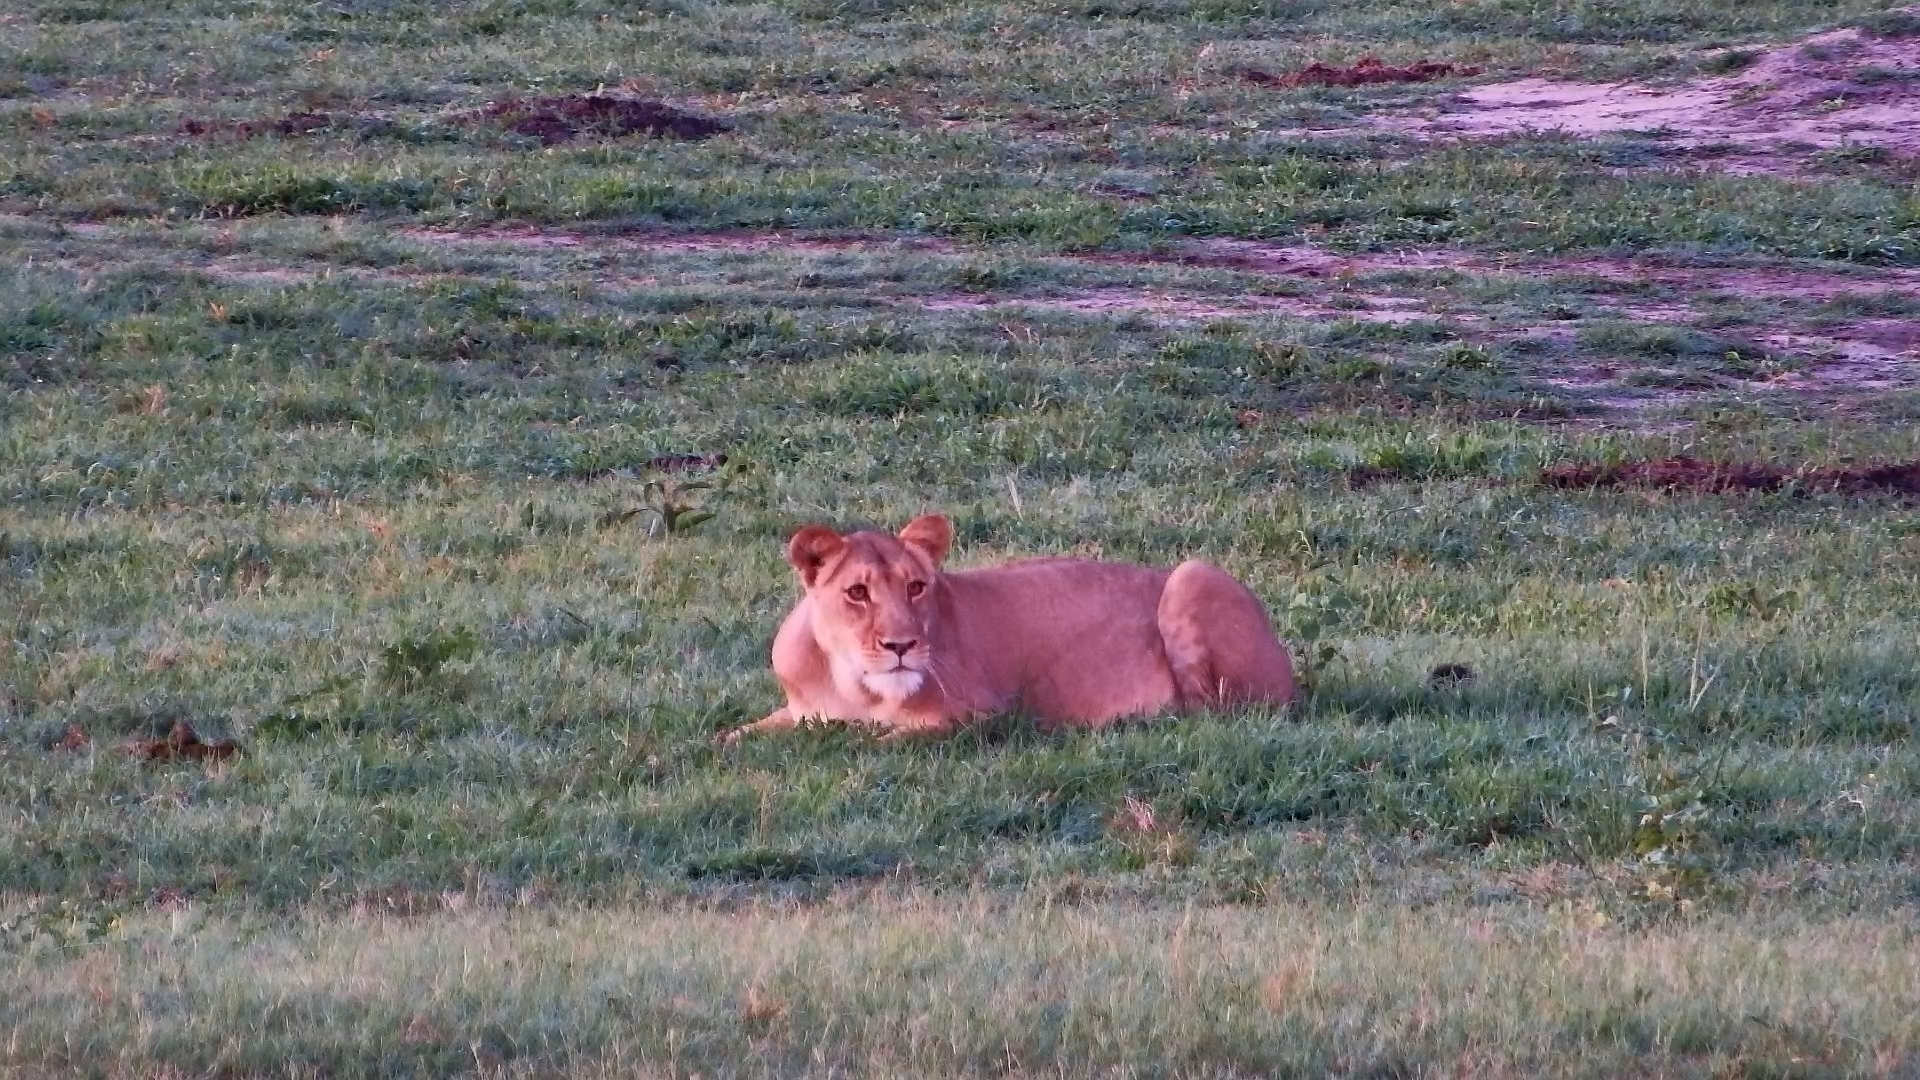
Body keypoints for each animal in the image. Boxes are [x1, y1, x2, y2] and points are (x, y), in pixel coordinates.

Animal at [718, 514, 1296, 742]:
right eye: (857, 593)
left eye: (916, 587)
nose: (902, 645)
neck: (854, 685)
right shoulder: (799, 713)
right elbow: (732, 737)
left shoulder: (983, 714)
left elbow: (883, 740)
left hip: (1192, 573)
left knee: (1211, 713)